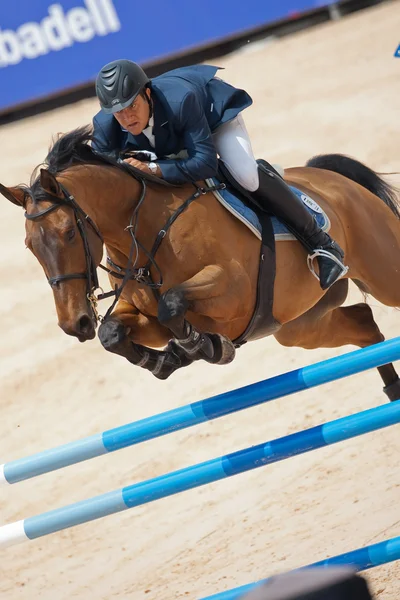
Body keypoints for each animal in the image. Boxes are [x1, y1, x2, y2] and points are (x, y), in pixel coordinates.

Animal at [0, 125, 400, 398]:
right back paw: (391, 389)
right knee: (364, 324)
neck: (146, 232)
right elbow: (113, 332)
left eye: (69, 232)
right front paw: (166, 360)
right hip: (299, 325)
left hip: (383, 274)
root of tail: (330, 177)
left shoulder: (231, 290)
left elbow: (172, 304)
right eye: (30, 246)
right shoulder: (142, 317)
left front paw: (205, 347)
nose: (75, 323)